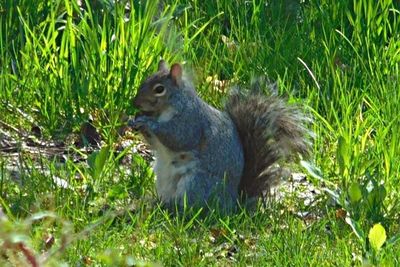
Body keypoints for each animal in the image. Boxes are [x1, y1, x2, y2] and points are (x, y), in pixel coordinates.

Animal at [128, 60, 310, 211]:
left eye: (159, 89)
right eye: (145, 80)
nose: (134, 103)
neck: (166, 109)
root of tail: (233, 203)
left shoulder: (191, 121)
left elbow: (178, 137)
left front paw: (149, 123)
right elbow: (155, 143)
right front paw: (134, 121)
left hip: (196, 183)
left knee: (193, 207)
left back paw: (172, 208)